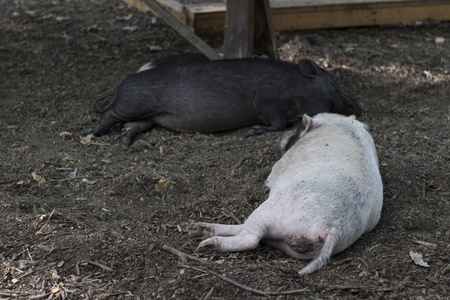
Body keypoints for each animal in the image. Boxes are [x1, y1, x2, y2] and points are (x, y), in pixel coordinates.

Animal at [82, 55, 362, 147]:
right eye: (334, 85)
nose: (358, 104)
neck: (299, 89)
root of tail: (124, 82)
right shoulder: (267, 103)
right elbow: (276, 123)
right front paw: (252, 131)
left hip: (150, 117)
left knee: (133, 125)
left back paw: (126, 141)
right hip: (133, 102)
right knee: (109, 114)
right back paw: (93, 132)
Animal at [190, 113, 384, 276]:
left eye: (298, 128)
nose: (283, 137)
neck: (338, 122)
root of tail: (336, 225)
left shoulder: (279, 166)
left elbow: (269, 177)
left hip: (271, 210)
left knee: (251, 238)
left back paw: (204, 242)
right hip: (293, 244)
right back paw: (198, 230)